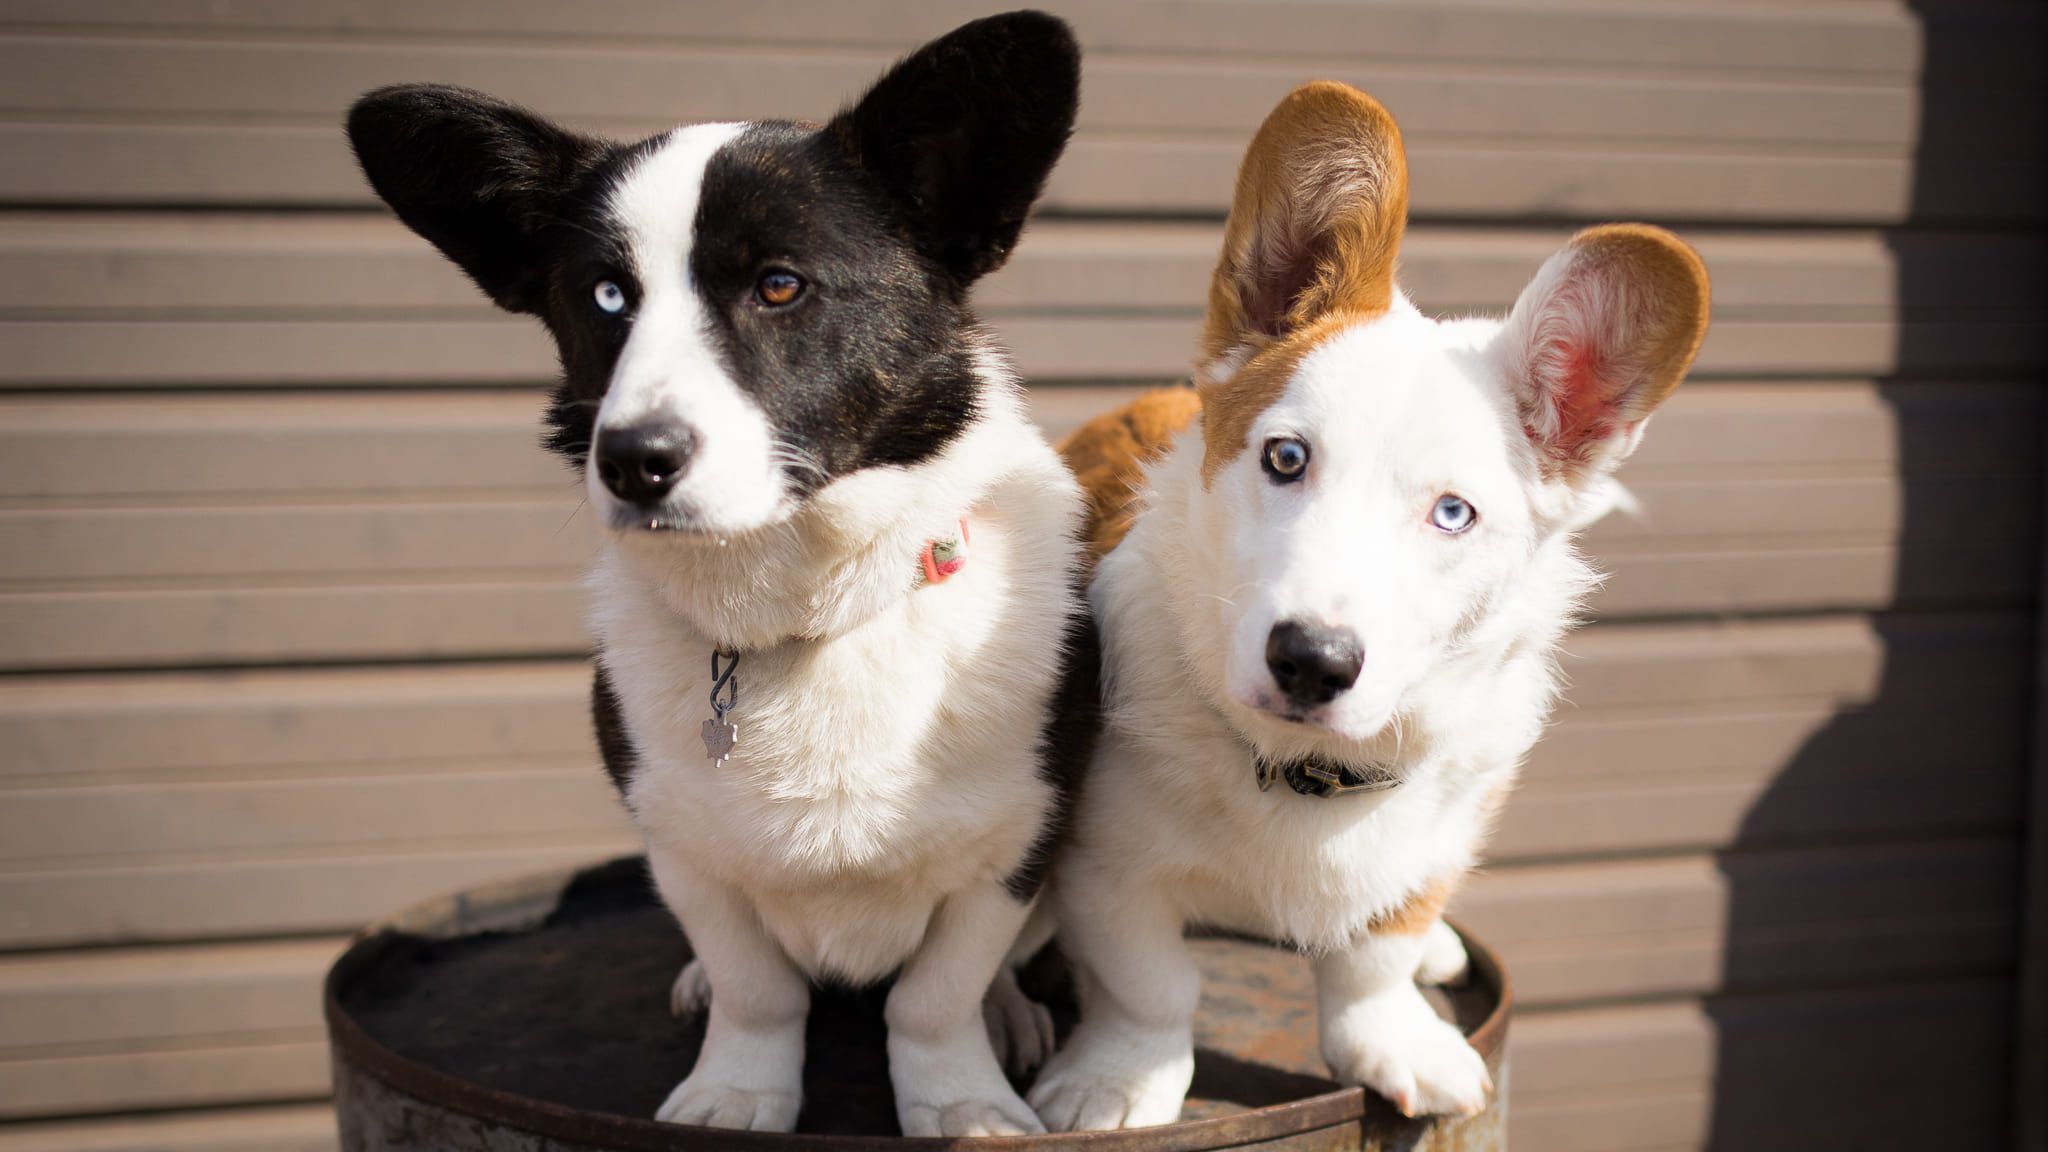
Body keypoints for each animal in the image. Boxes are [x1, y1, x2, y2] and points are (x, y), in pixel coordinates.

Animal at [344, 15, 1097, 1131]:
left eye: (778, 284)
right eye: (607, 296)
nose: (633, 460)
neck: (800, 613)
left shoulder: (1014, 849)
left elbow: (935, 998)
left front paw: (963, 1103)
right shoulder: (683, 850)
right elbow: (754, 986)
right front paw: (735, 1092)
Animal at [1024, 85, 1712, 1123]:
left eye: (1453, 513)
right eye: (1285, 457)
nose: (1312, 660)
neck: (1309, 772)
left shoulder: (1435, 843)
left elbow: (1374, 961)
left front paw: (1396, 1038)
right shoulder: (1107, 873)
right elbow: (1152, 988)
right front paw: (1114, 1083)